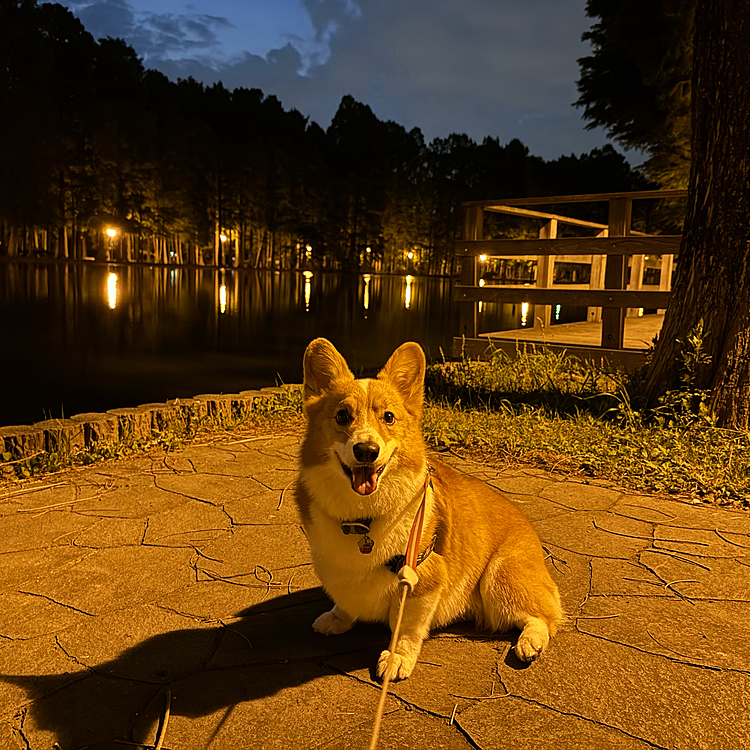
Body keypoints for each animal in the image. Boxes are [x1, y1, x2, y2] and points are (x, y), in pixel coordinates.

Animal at [296, 340, 564, 680]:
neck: (363, 518)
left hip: (499, 577)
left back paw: (531, 642)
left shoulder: (422, 579)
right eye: (342, 416)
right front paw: (337, 618)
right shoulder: (335, 567)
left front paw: (397, 658)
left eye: (389, 417)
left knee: (544, 616)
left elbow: (407, 628)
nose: (366, 451)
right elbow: (344, 600)